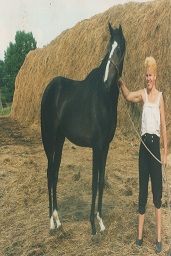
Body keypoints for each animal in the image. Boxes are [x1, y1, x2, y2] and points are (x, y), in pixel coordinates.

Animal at [40, 24, 125, 236]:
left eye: (119, 49)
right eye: (108, 48)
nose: (107, 81)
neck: (104, 96)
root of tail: (49, 88)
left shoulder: (105, 146)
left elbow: (101, 182)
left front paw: (101, 222)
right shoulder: (97, 145)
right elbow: (94, 182)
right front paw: (93, 226)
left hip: (60, 140)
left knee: (54, 173)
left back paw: (58, 220)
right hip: (50, 139)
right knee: (49, 173)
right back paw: (51, 223)